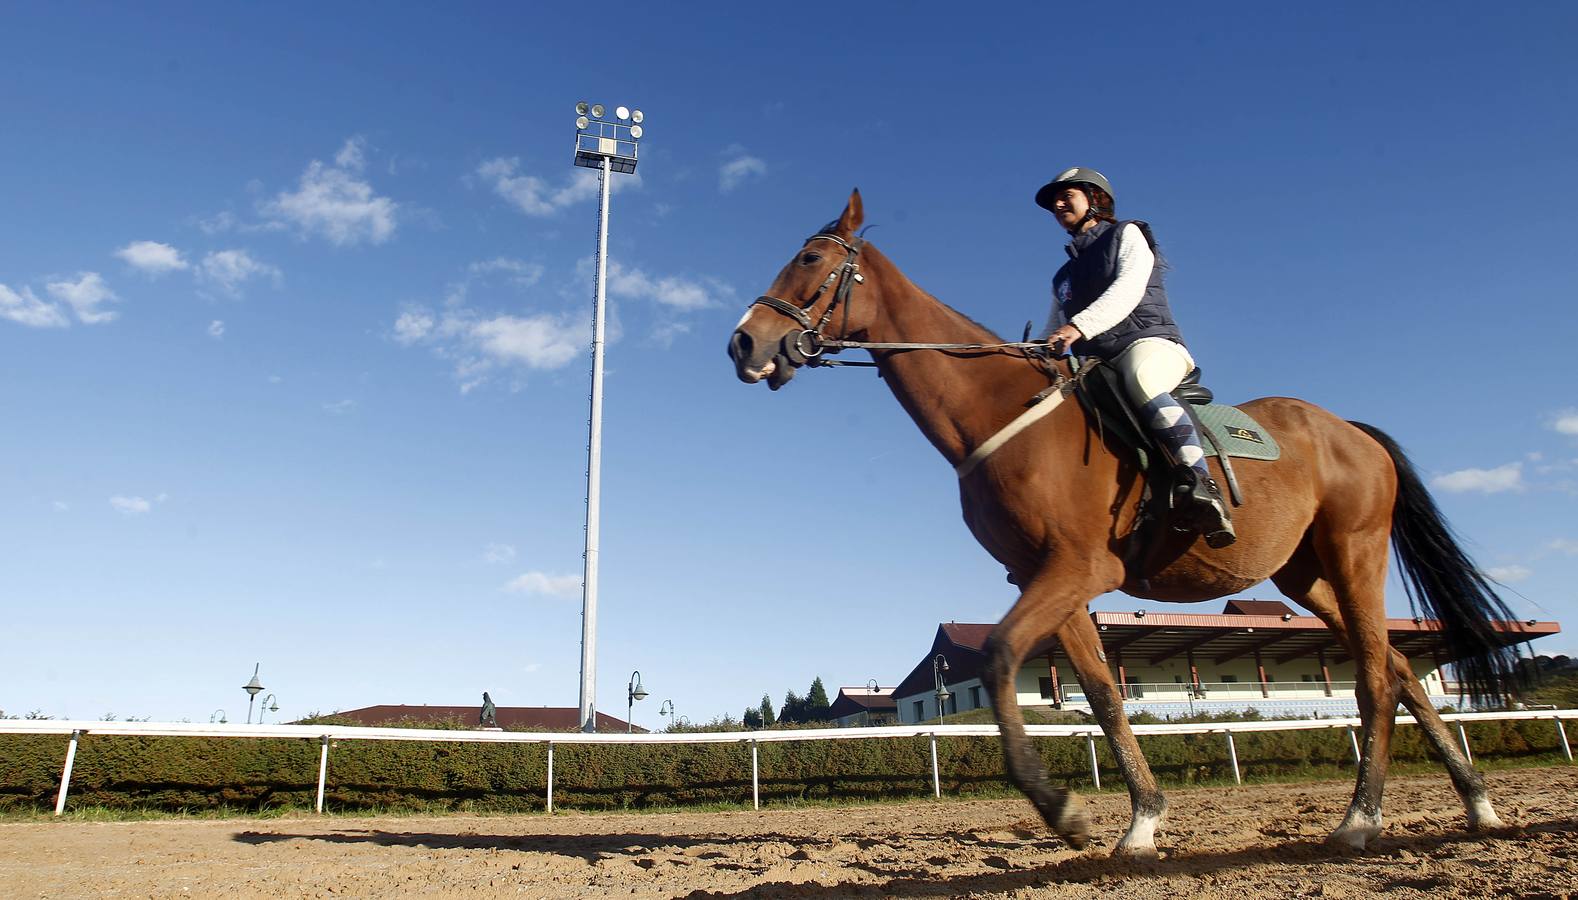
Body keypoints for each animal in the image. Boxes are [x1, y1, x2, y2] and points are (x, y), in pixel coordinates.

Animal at [722, 191, 1514, 852]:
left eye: (811, 259)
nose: (742, 344)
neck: (1005, 414)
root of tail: (1350, 430)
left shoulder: (1079, 567)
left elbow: (1003, 656)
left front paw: (1062, 810)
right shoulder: (1043, 575)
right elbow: (1102, 694)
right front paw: (1141, 821)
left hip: (1354, 552)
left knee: (1378, 677)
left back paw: (1360, 819)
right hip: (1306, 575)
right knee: (1400, 668)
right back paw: (1476, 804)